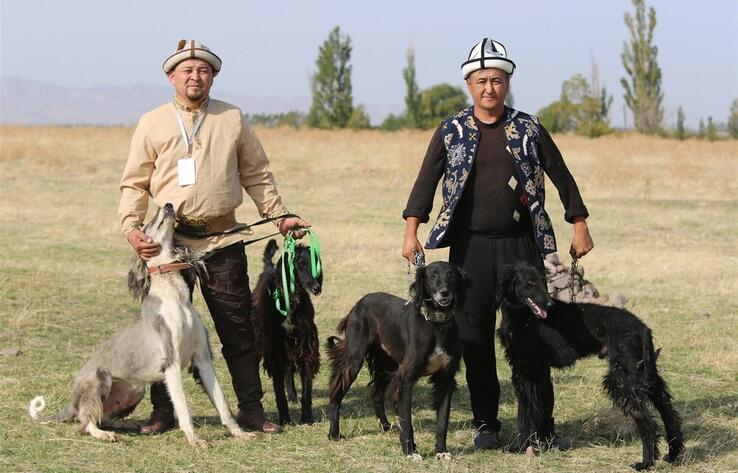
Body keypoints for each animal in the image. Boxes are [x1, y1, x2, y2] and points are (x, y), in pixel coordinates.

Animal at [27, 204, 252, 446]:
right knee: (85, 423)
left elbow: (222, 404)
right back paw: (105, 434)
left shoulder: (202, 359)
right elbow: (183, 408)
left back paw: (126, 424)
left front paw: (240, 433)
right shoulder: (170, 363)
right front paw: (194, 440)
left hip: (135, 388)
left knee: (102, 416)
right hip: (100, 378)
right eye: (147, 223)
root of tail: (73, 401)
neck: (173, 295)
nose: (168, 205)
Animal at [252, 238, 320, 426]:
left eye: (315, 262)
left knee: (288, 370)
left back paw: (293, 395)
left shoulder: (305, 344)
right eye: (301, 264)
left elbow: (306, 389)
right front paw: (284, 419)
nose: (316, 287)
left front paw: (307, 417)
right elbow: (278, 390)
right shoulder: (273, 346)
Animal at [324, 260, 462, 460]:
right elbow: (407, 420)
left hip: (386, 364)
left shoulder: (446, 378)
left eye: (451, 275)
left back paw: (385, 425)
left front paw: (441, 451)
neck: (437, 325)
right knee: (337, 391)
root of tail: (360, 301)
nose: (444, 292)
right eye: (432, 275)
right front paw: (410, 452)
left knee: (376, 393)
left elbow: (443, 420)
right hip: (354, 360)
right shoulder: (405, 378)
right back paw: (334, 433)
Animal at [494, 260, 684, 470]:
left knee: (648, 422)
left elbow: (527, 412)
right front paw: (525, 445)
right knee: (670, 415)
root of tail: (642, 326)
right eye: (530, 282)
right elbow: (527, 410)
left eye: (541, 282)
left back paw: (646, 462)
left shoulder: (529, 370)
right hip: (647, 375)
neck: (522, 316)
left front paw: (524, 446)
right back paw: (674, 455)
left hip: (623, 379)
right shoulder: (525, 370)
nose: (550, 305)